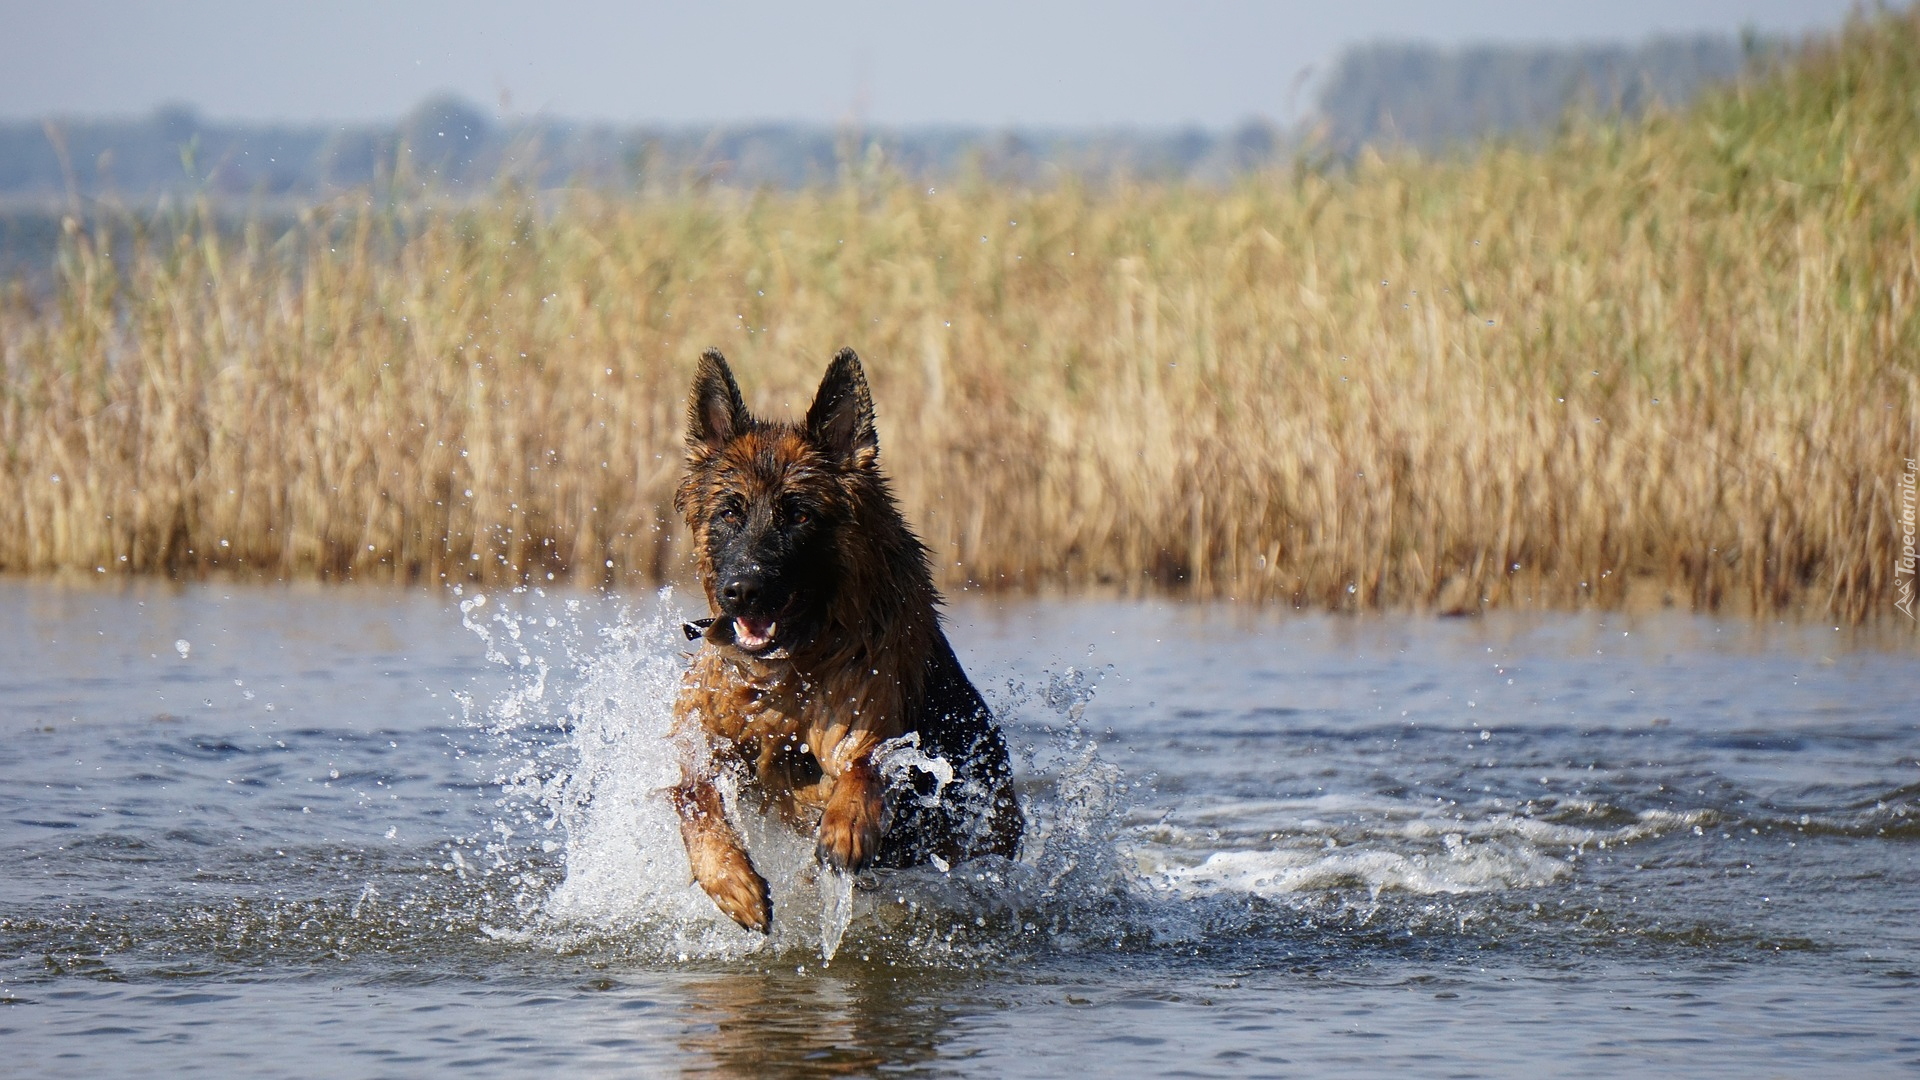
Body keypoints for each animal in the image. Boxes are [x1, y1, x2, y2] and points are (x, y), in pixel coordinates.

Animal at [672, 349, 1029, 930]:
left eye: (798, 514)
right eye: (729, 512)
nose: (743, 591)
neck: (790, 671)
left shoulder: (864, 714)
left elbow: (865, 766)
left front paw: (846, 828)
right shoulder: (710, 732)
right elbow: (692, 792)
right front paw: (731, 880)